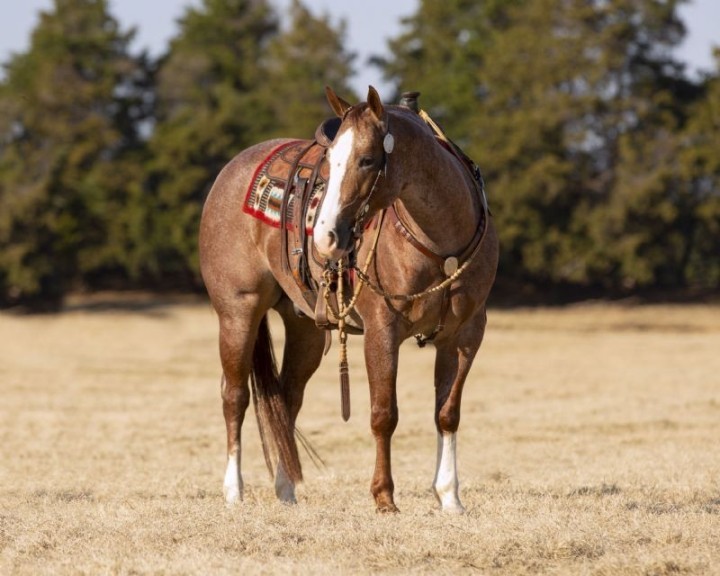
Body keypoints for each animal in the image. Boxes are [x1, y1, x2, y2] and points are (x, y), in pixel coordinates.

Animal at [199, 86, 498, 513]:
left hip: (305, 327)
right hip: (238, 312)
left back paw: (286, 489)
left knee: (287, 399)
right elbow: (383, 414)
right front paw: (384, 498)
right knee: (235, 396)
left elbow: (447, 414)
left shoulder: (465, 335)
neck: (442, 246)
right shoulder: (382, 331)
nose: (326, 236)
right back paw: (234, 491)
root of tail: (230, 171)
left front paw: (449, 496)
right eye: (331, 160)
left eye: (368, 159)